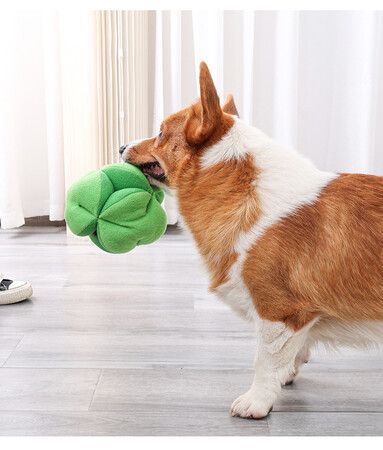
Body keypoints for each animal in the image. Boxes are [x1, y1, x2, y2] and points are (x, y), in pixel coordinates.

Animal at [121, 62, 383, 418]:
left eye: (160, 133)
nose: (121, 146)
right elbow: (295, 351)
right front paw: (287, 373)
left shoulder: (277, 312)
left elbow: (264, 361)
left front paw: (256, 402)